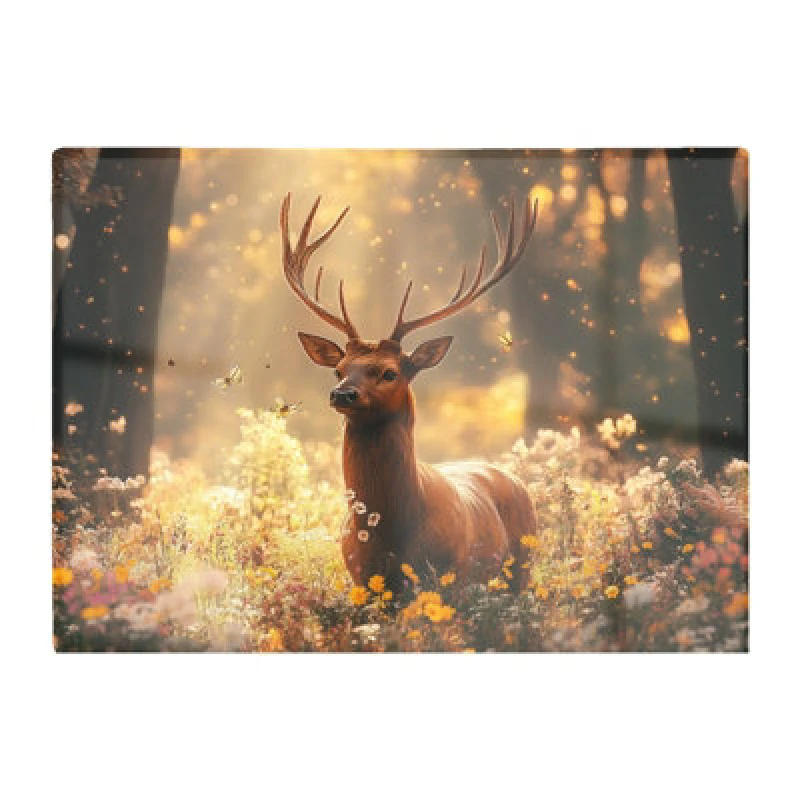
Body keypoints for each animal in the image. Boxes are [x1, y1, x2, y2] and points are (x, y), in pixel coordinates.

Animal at [280, 192, 538, 595]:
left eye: (390, 372)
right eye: (339, 369)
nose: (342, 394)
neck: (392, 538)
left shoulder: (451, 578)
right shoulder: (361, 581)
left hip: (522, 566)